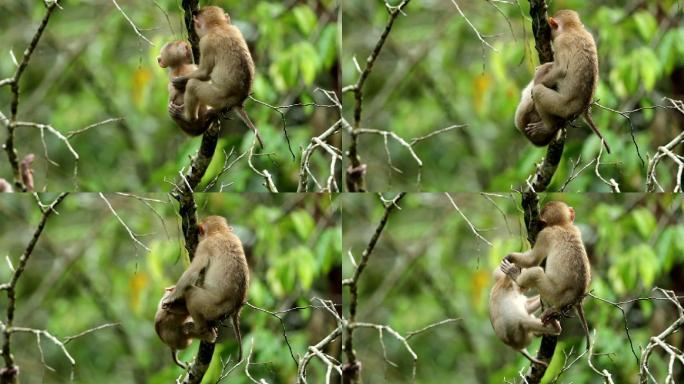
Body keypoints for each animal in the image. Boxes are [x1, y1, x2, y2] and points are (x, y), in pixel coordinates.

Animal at [162, 216, 250, 364]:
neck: (221, 232)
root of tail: (236, 307)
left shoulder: (204, 246)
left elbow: (192, 273)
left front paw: (172, 296)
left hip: (212, 306)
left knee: (191, 294)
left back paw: (200, 329)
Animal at [170, 6, 266, 147]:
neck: (219, 26)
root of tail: (239, 100)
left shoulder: (205, 43)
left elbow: (204, 73)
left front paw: (181, 81)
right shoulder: (235, 28)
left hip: (217, 98)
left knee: (193, 86)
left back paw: (188, 117)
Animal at [496, 202, 592, 350]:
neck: (563, 225)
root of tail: (576, 297)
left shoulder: (545, 235)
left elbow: (532, 260)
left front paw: (510, 257)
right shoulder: (576, 229)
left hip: (554, 292)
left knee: (536, 273)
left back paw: (515, 276)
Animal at [520, 9, 612, 153]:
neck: (573, 28)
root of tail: (583, 107)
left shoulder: (560, 42)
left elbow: (561, 69)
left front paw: (539, 79)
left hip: (563, 107)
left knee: (539, 92)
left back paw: (549, 127)